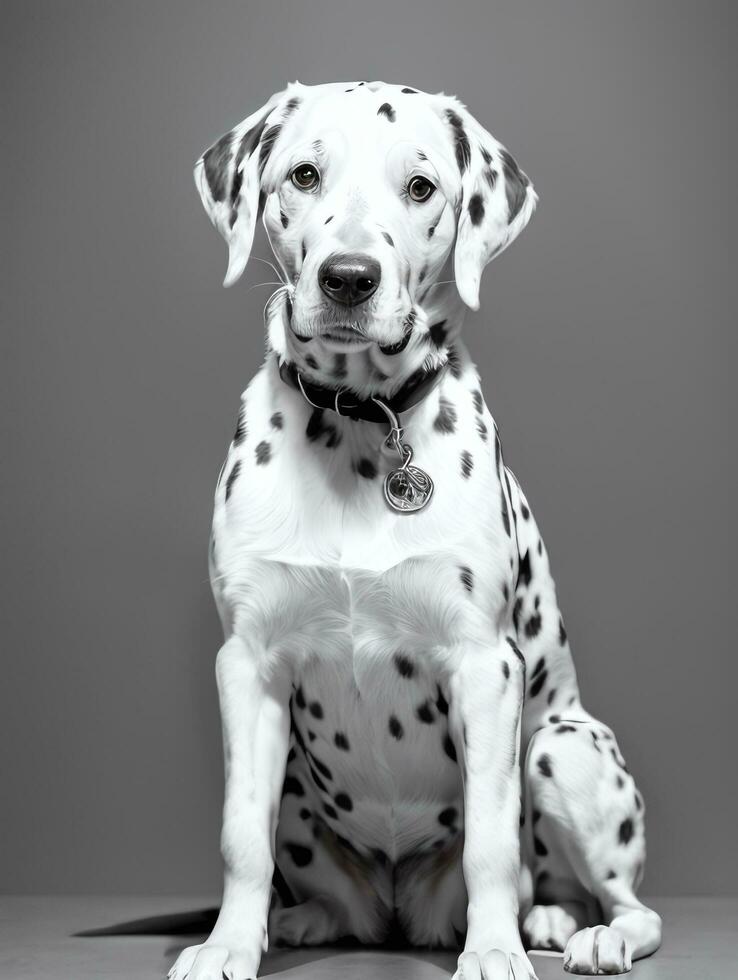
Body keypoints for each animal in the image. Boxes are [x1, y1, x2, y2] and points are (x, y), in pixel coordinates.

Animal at [168, 82, 660, 980]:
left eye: (421, 187)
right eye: (304, 174)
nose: (348, 278)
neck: (362, 422)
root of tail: (403, 913)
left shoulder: (484, 667)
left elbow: (493, 842)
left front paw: (494, 950)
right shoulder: (248, 665)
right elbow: (241, 837)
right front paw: (228, 945)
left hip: (563, 747)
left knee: (615, 901)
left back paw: (575, 931)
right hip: (305, 790)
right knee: (334, 895)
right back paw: (305, 921)